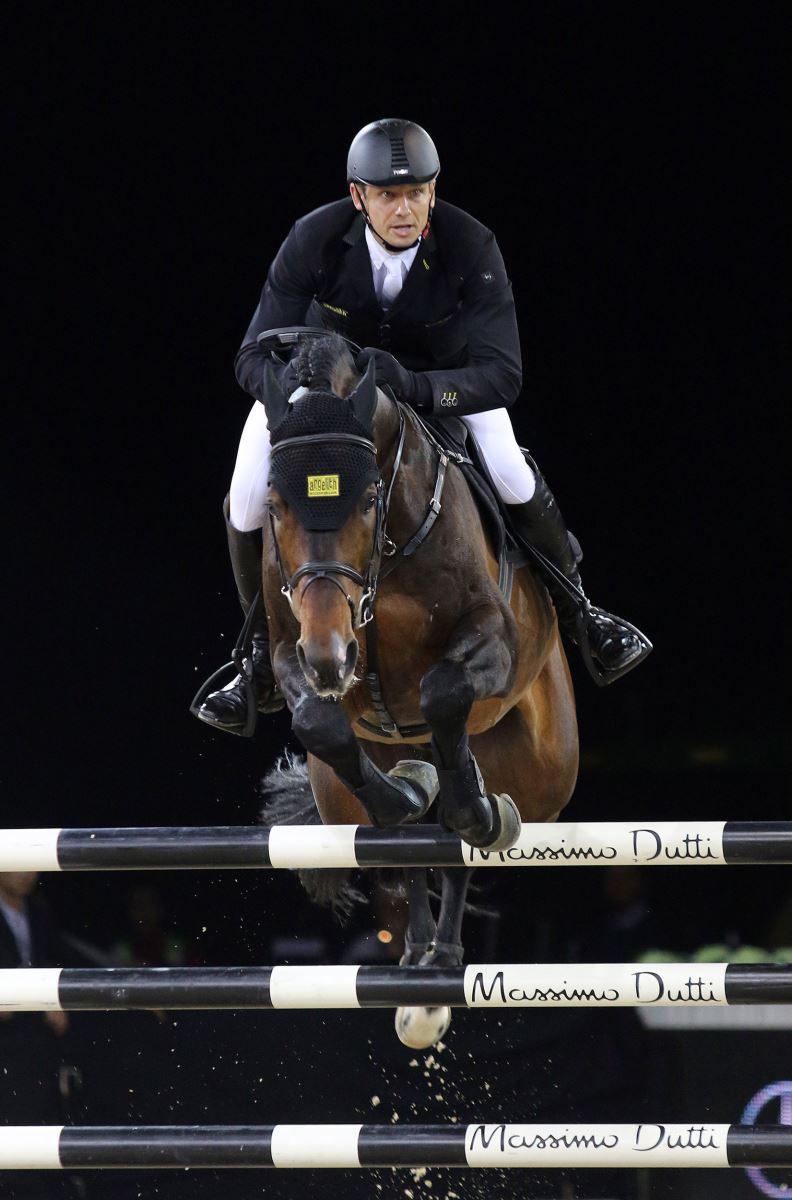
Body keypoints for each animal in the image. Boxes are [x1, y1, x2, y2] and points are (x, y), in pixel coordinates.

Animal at [257, 330, 579, 1048]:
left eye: (368, 499)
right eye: (275, 506)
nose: (331, 657)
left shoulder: (492, 637)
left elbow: (442, 693)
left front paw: (470, 805)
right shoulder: (291, 648)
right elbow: (325, 729)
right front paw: (407, 793)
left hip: (546, 769)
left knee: (465, 831)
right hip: (338, 798)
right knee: (398, 840)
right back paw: (418, 965)